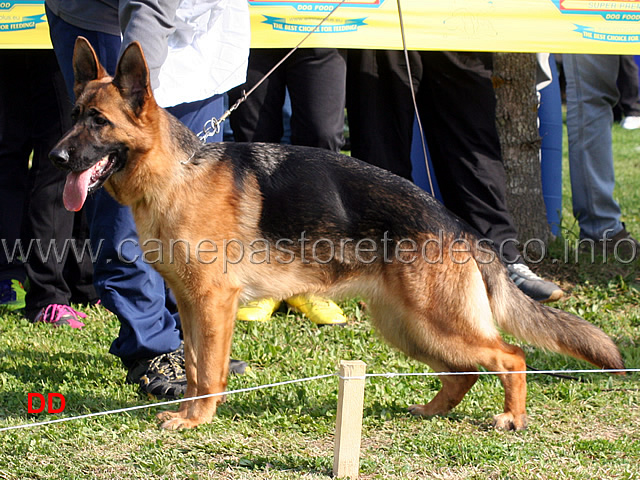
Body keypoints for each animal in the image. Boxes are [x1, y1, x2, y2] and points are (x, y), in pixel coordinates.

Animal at [51, 38, 624, 432]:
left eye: (98, 121)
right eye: (72, 116)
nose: (55, 158)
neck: (177, 172)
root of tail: (457, 225)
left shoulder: (213, 304)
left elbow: (209, 371)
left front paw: (197, 420)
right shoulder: (192, 306)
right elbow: (193, 367)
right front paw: (192, 412)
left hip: (436, 323)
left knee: (512, 357)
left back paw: (512, 419)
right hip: (407, 327)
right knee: (464, 373)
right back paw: (430, 410)